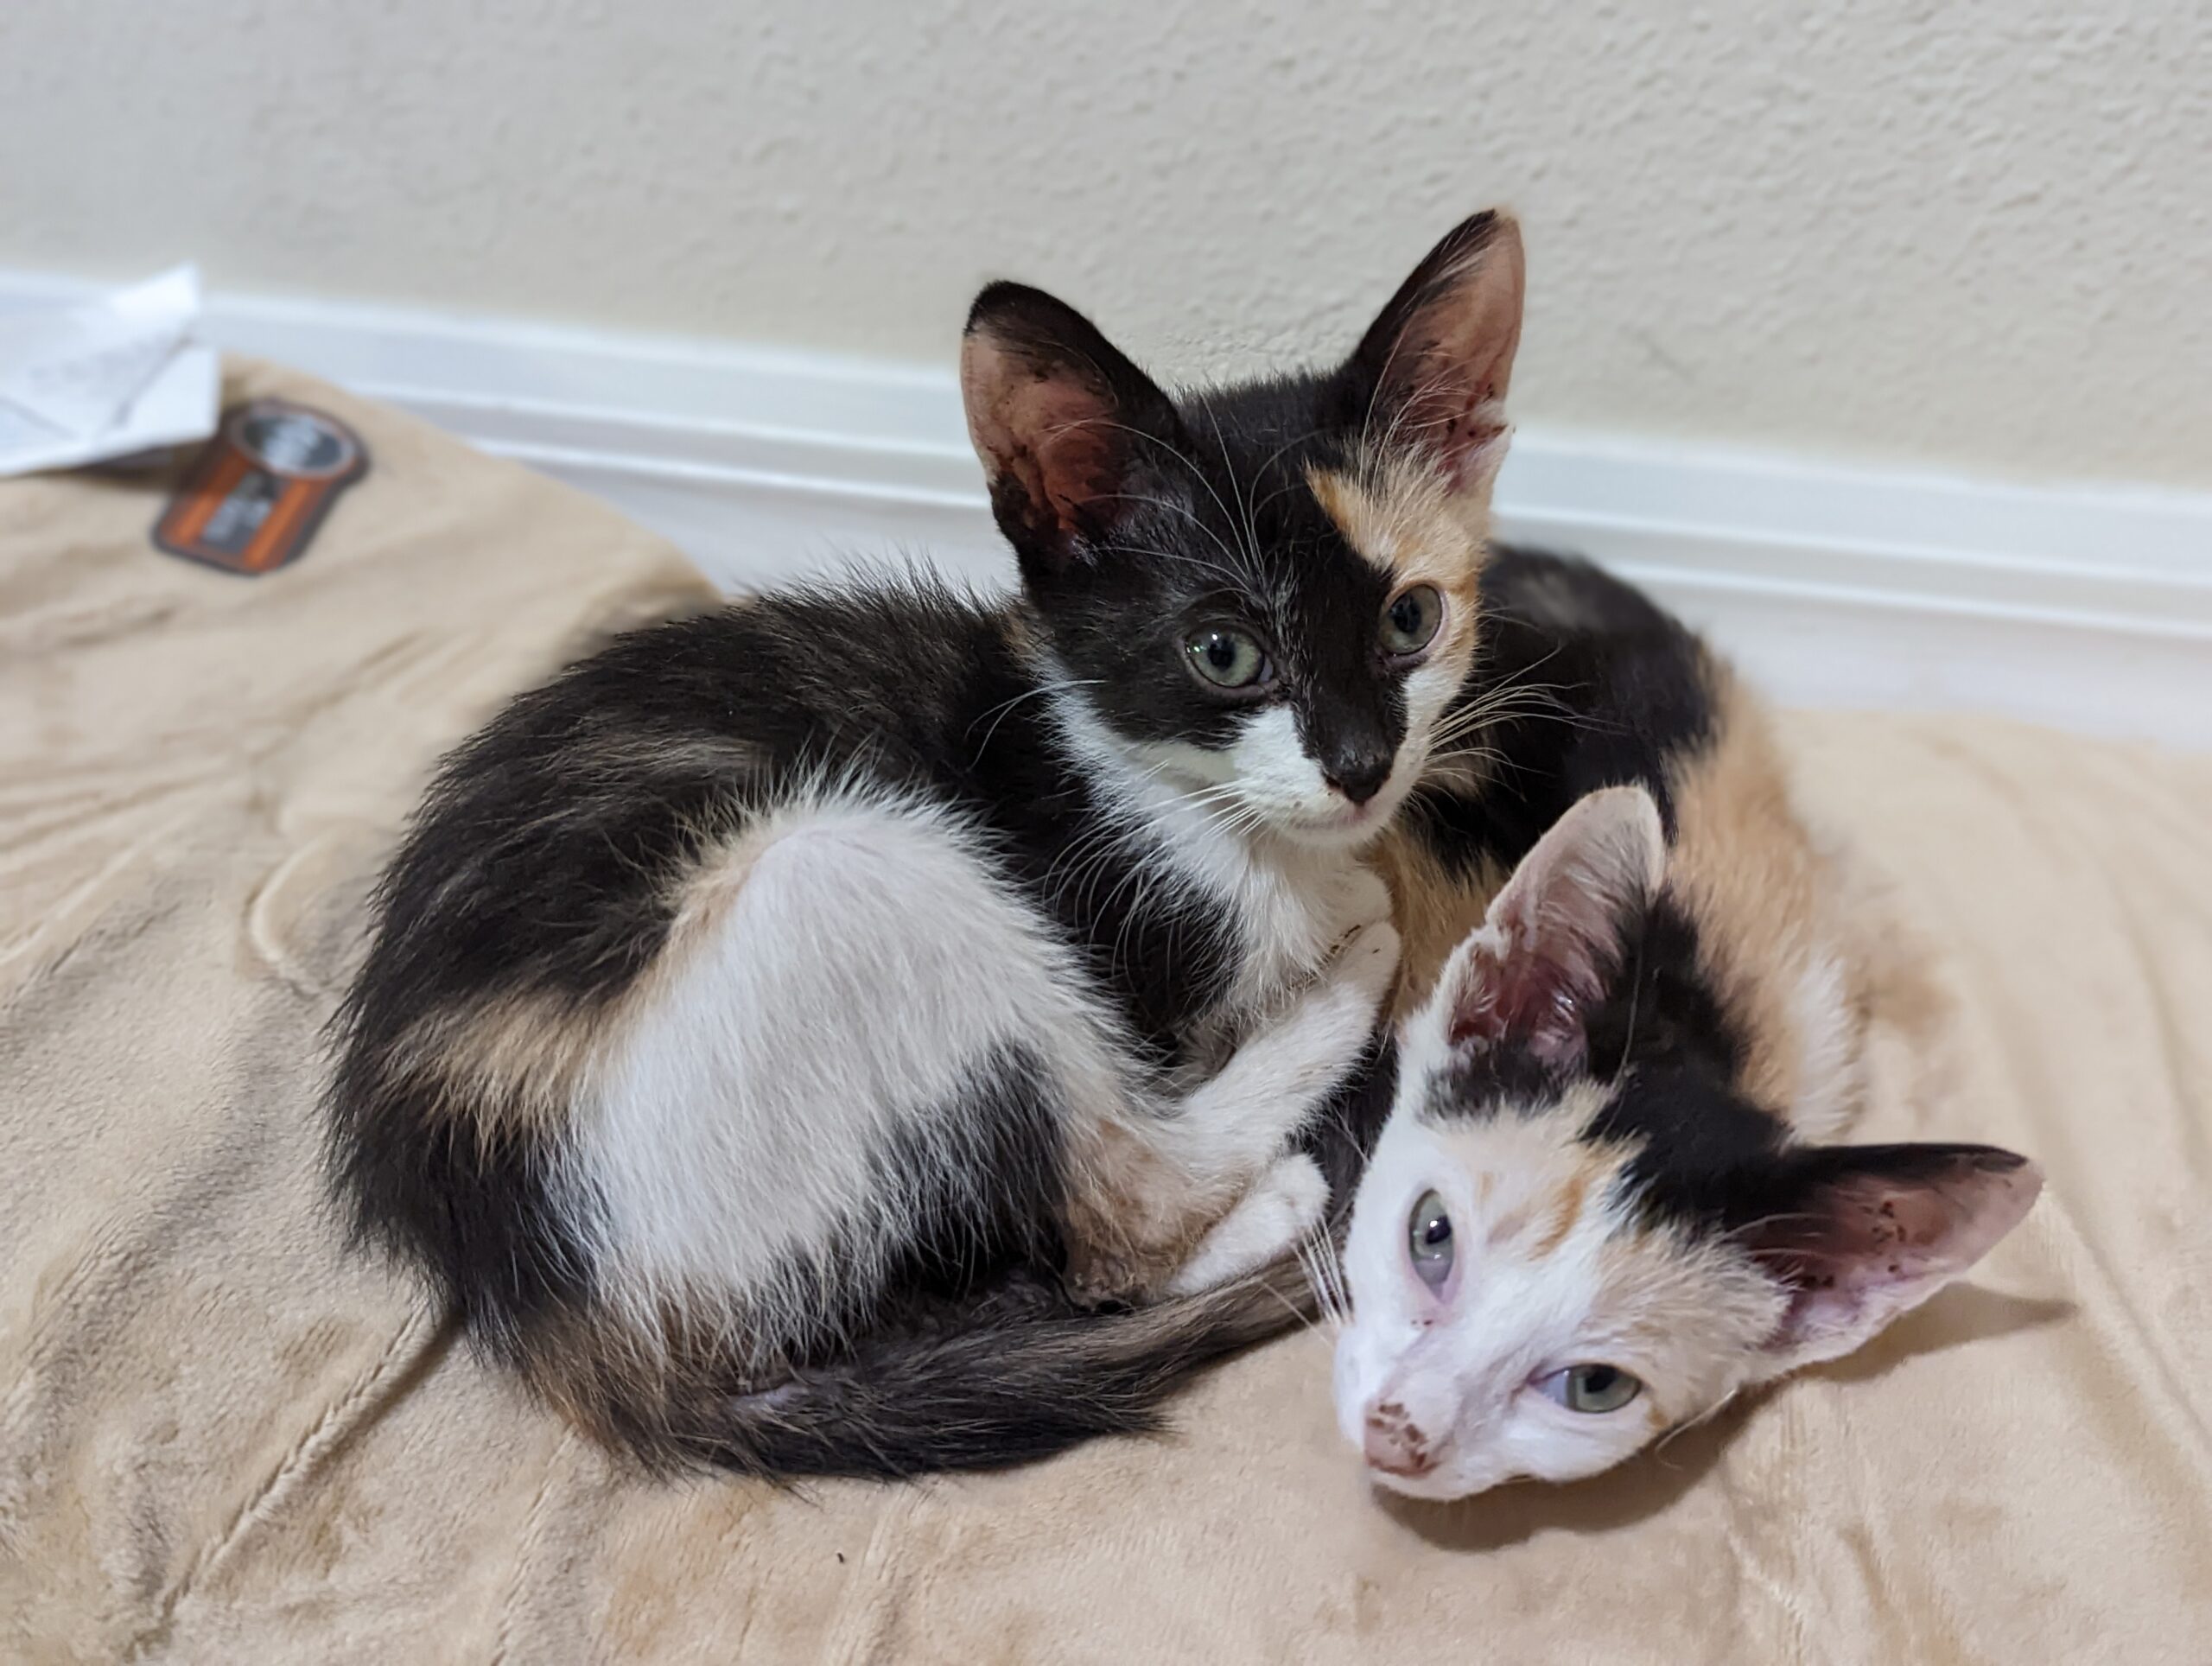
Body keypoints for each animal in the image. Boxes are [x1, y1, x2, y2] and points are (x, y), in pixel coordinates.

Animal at [332, 214, 1539, 1478]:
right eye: (1223, 653)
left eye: (1411, 619)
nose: (1360, 765)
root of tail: (570, 1327)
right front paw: (1356, 924)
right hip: (843, 877)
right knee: (1114, 1218)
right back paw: (1303, 1126)